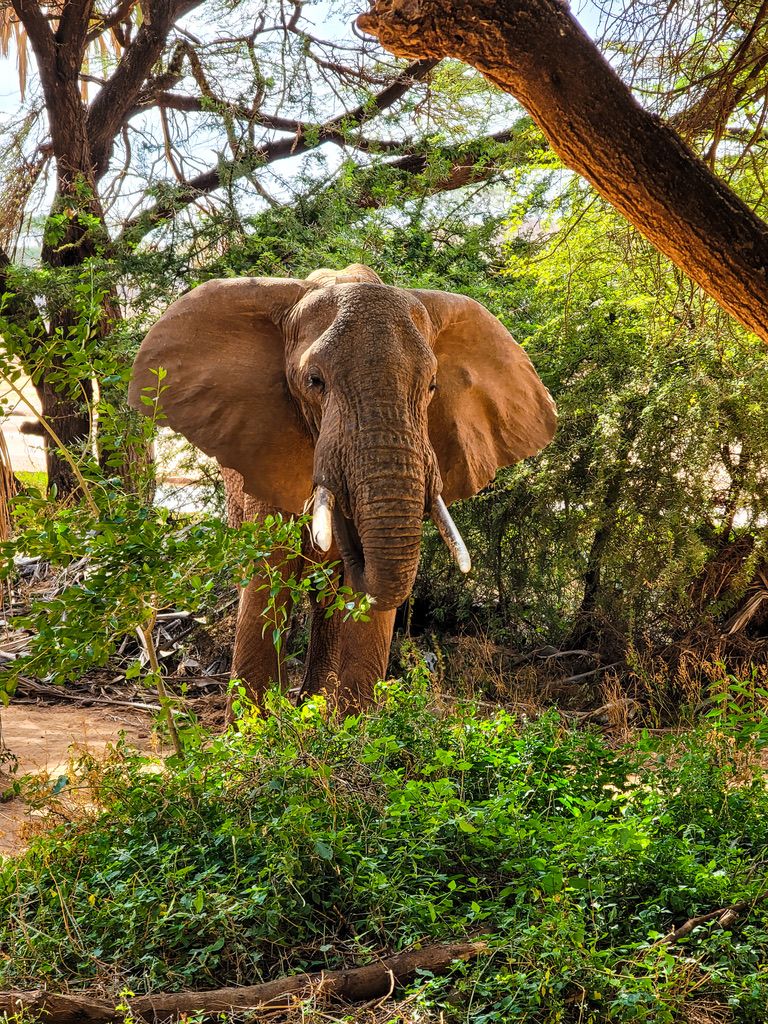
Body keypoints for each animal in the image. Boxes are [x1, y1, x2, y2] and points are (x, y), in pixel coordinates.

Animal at [128, 264, 556, 715]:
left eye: (432, 386)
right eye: (314, 381)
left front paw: (360, 730)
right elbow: (269, 574)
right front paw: (250, 730)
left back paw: (314, 708)